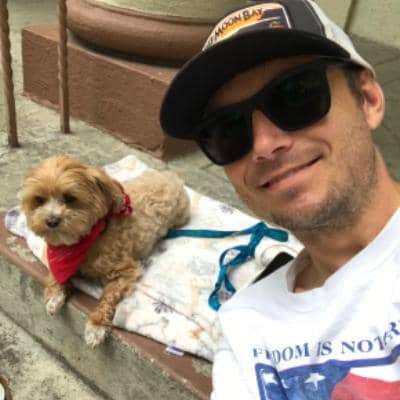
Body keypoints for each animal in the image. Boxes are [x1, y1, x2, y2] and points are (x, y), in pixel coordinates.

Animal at [21, 156, 190, 347]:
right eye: (39, 199)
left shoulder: (126, 270)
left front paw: (97, 324)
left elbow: (109, 296)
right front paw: (55, 295)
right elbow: (54, 275)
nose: (51, 221)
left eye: (70, 198)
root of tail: (169, 176)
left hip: (180, 217)